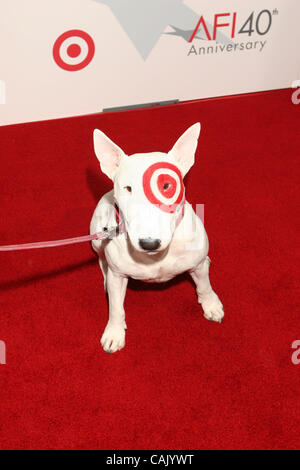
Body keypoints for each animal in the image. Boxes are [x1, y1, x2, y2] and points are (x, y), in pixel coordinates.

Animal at [90, 124, 224, 352]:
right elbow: (116, 308)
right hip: (98, 236)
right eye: (128, 188)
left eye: (166, 186)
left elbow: (204, 285)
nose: (149, 243)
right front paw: (114, 332)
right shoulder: (118, 275)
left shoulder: (197, 266)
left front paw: (211, 304)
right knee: (102, 259)